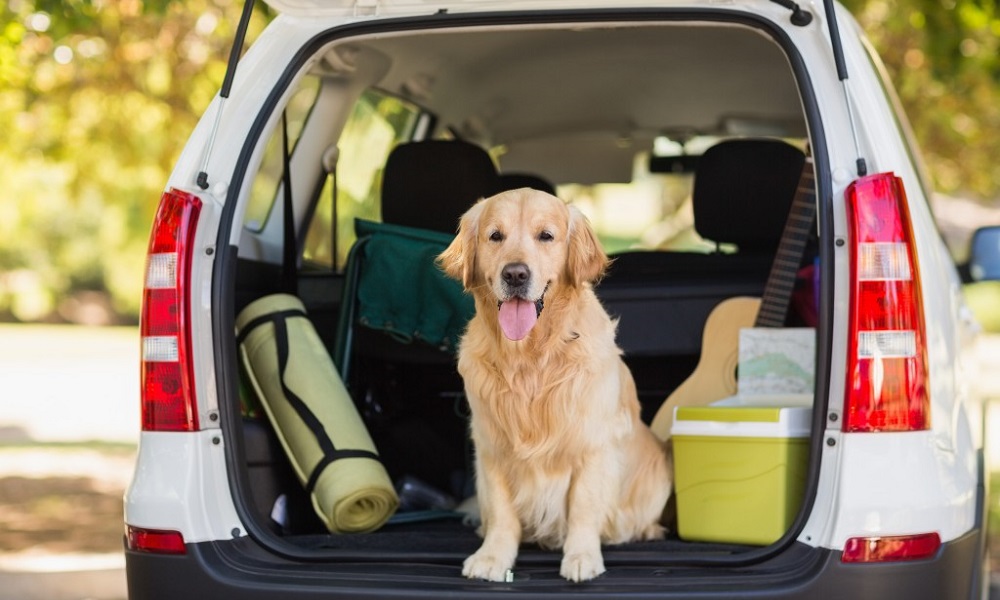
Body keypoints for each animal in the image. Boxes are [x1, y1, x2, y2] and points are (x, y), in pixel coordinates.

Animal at [440, 188, 668, 580]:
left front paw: (582, 557)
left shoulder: (592, 445)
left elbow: (584, 507)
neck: (530, 358)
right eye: (495, 235)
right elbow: (501, 511)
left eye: (545, 236)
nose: (515, 274)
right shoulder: (491, 445)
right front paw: (493, 557)